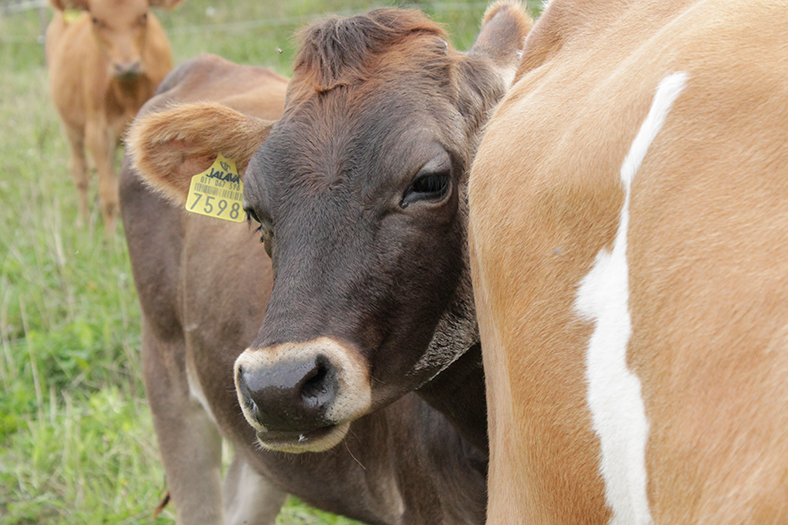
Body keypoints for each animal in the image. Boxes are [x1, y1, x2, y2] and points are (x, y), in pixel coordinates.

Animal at [46, 0, 182, 233]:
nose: (126, 66)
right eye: (96, 20)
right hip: (70, 129)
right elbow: (109, 195)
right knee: (80, 173)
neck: (129, 93)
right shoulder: (98, 134)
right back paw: (83, 222)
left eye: (144, 16)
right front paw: (110, 237)